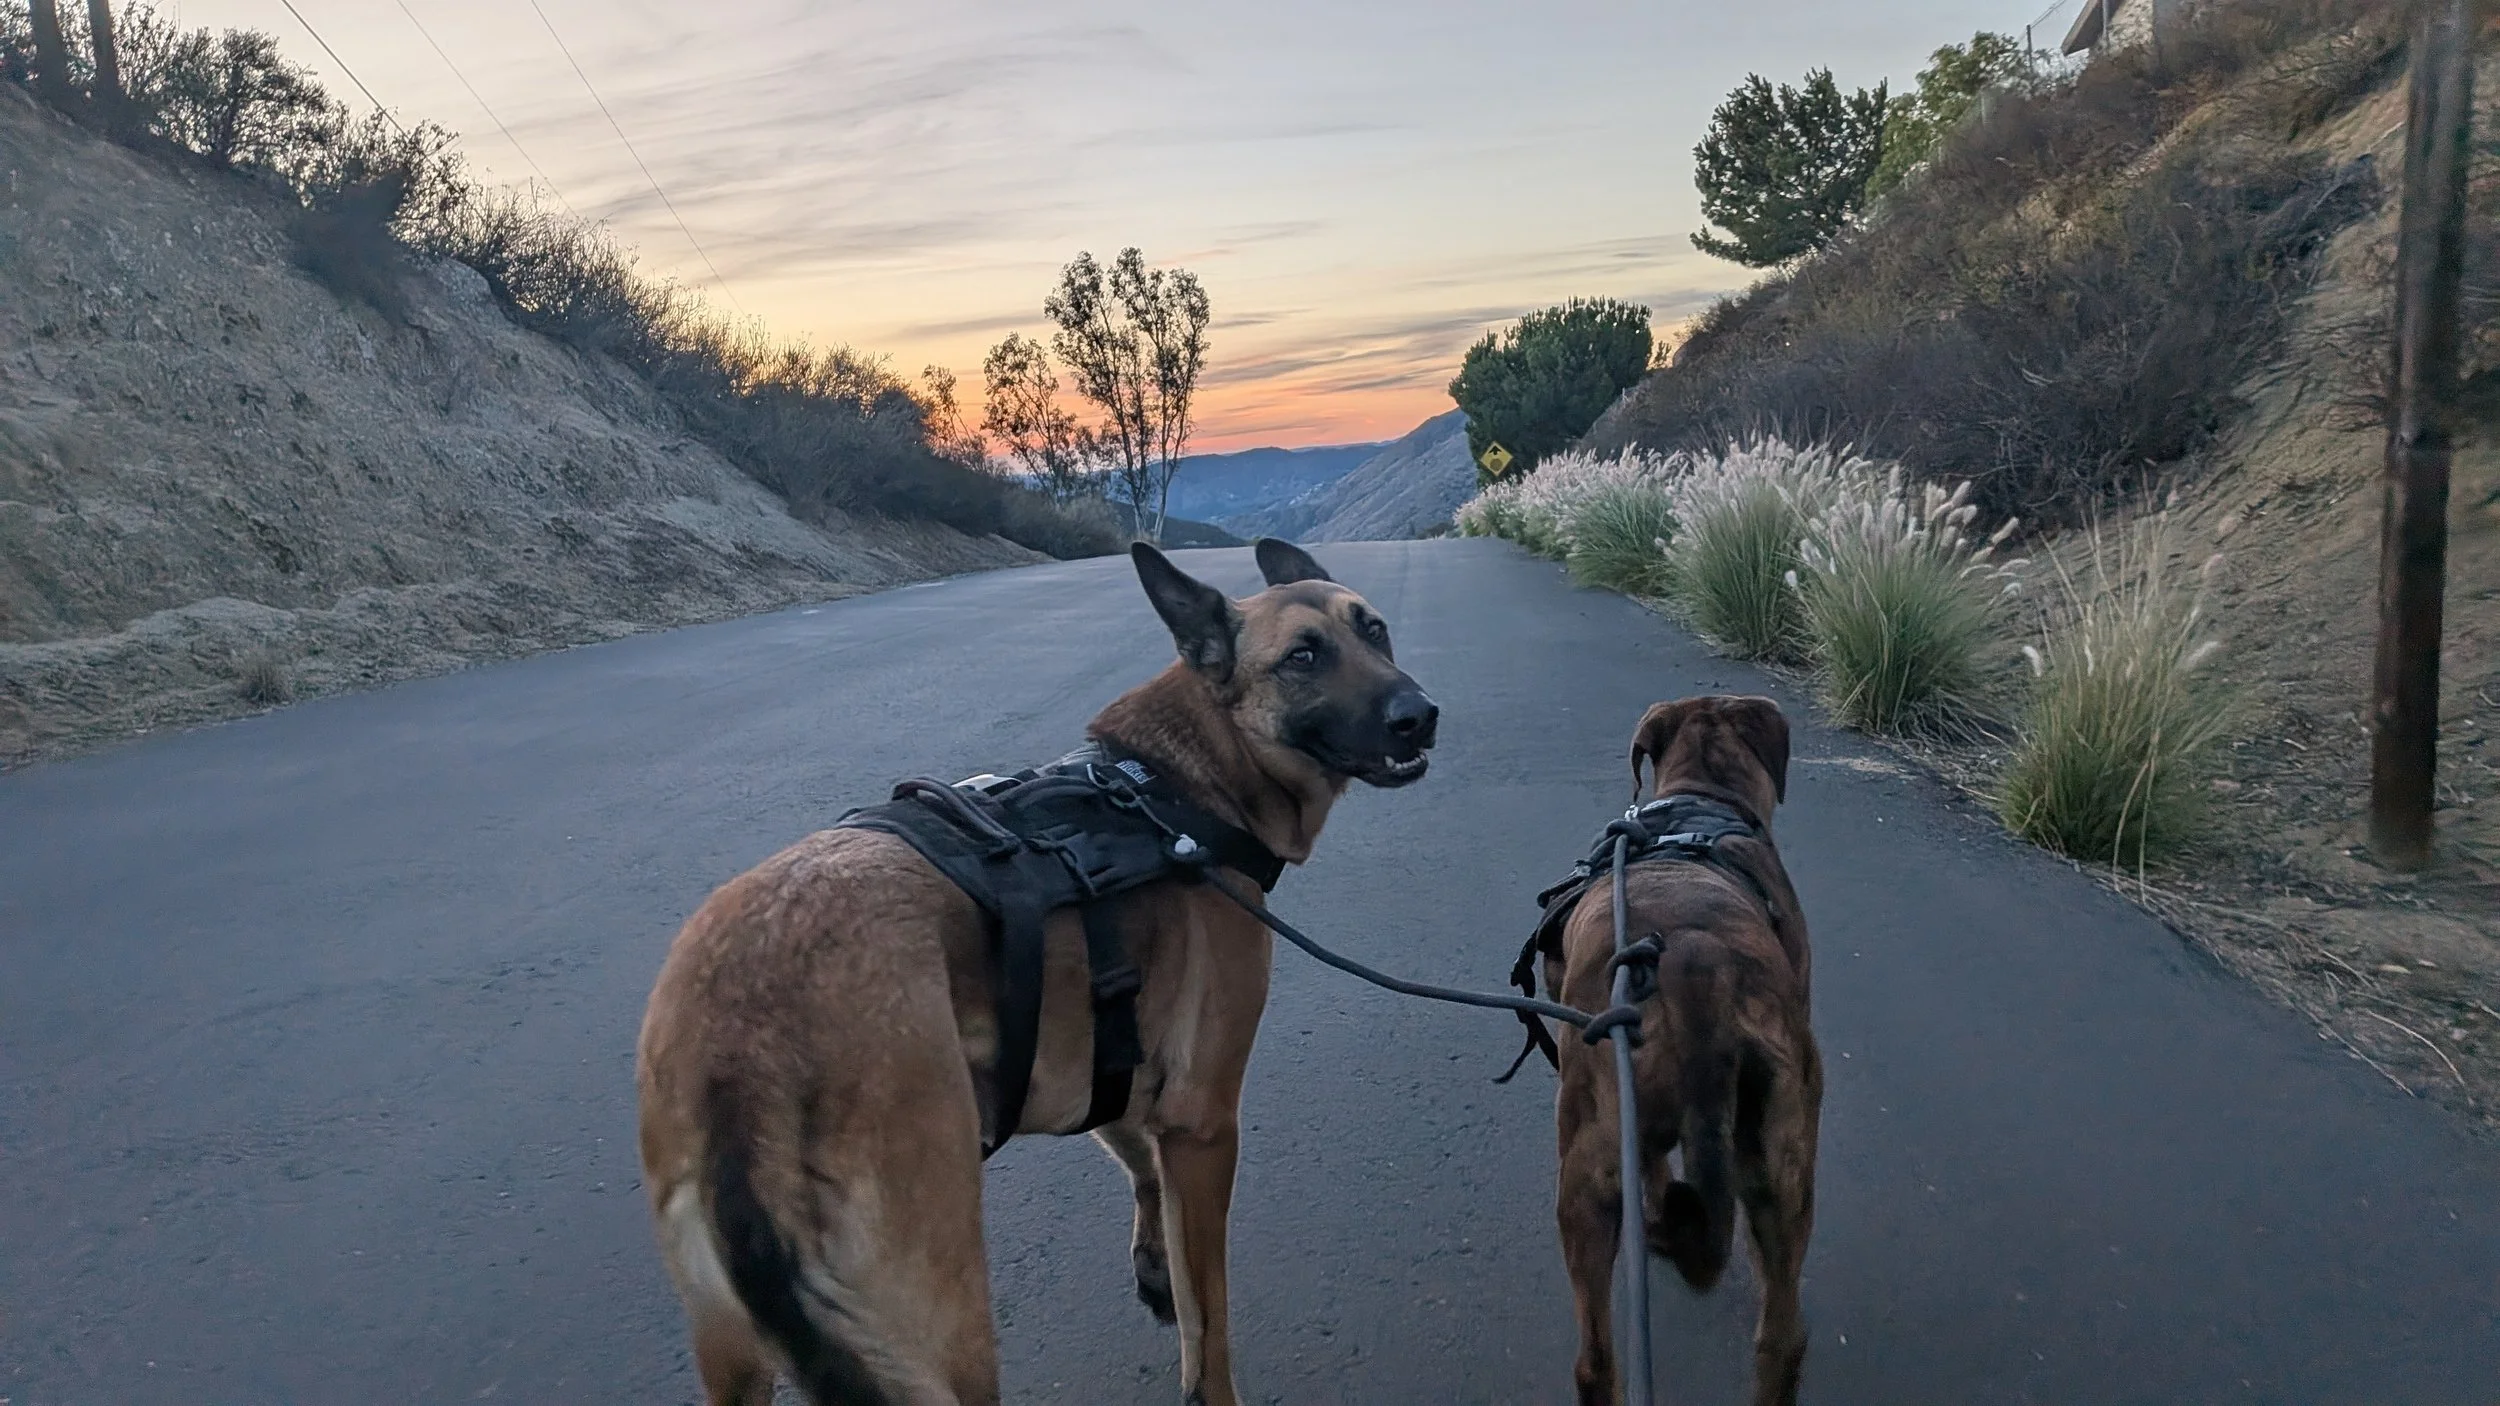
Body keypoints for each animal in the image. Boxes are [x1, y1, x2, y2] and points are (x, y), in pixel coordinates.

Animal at [635, 538, 1438, 1406]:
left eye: (1375, 630)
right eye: (1303, 657)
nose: (1421, 713)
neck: (1172, 787)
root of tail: (738, 1055)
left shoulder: (1097, 1065)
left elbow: (1134, 1156)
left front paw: (1153, 1259)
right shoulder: (1203, 1123)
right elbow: (1209, 1323)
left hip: (741, 1356)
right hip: (945, 1333)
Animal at [1530, 696, 1821, 1406]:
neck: (1700, 797)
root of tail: (1698, 974)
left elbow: (1657, 1168)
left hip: (1586, 1174)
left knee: (1596, 1360)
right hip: (1782, 1167)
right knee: (1782, 1336)